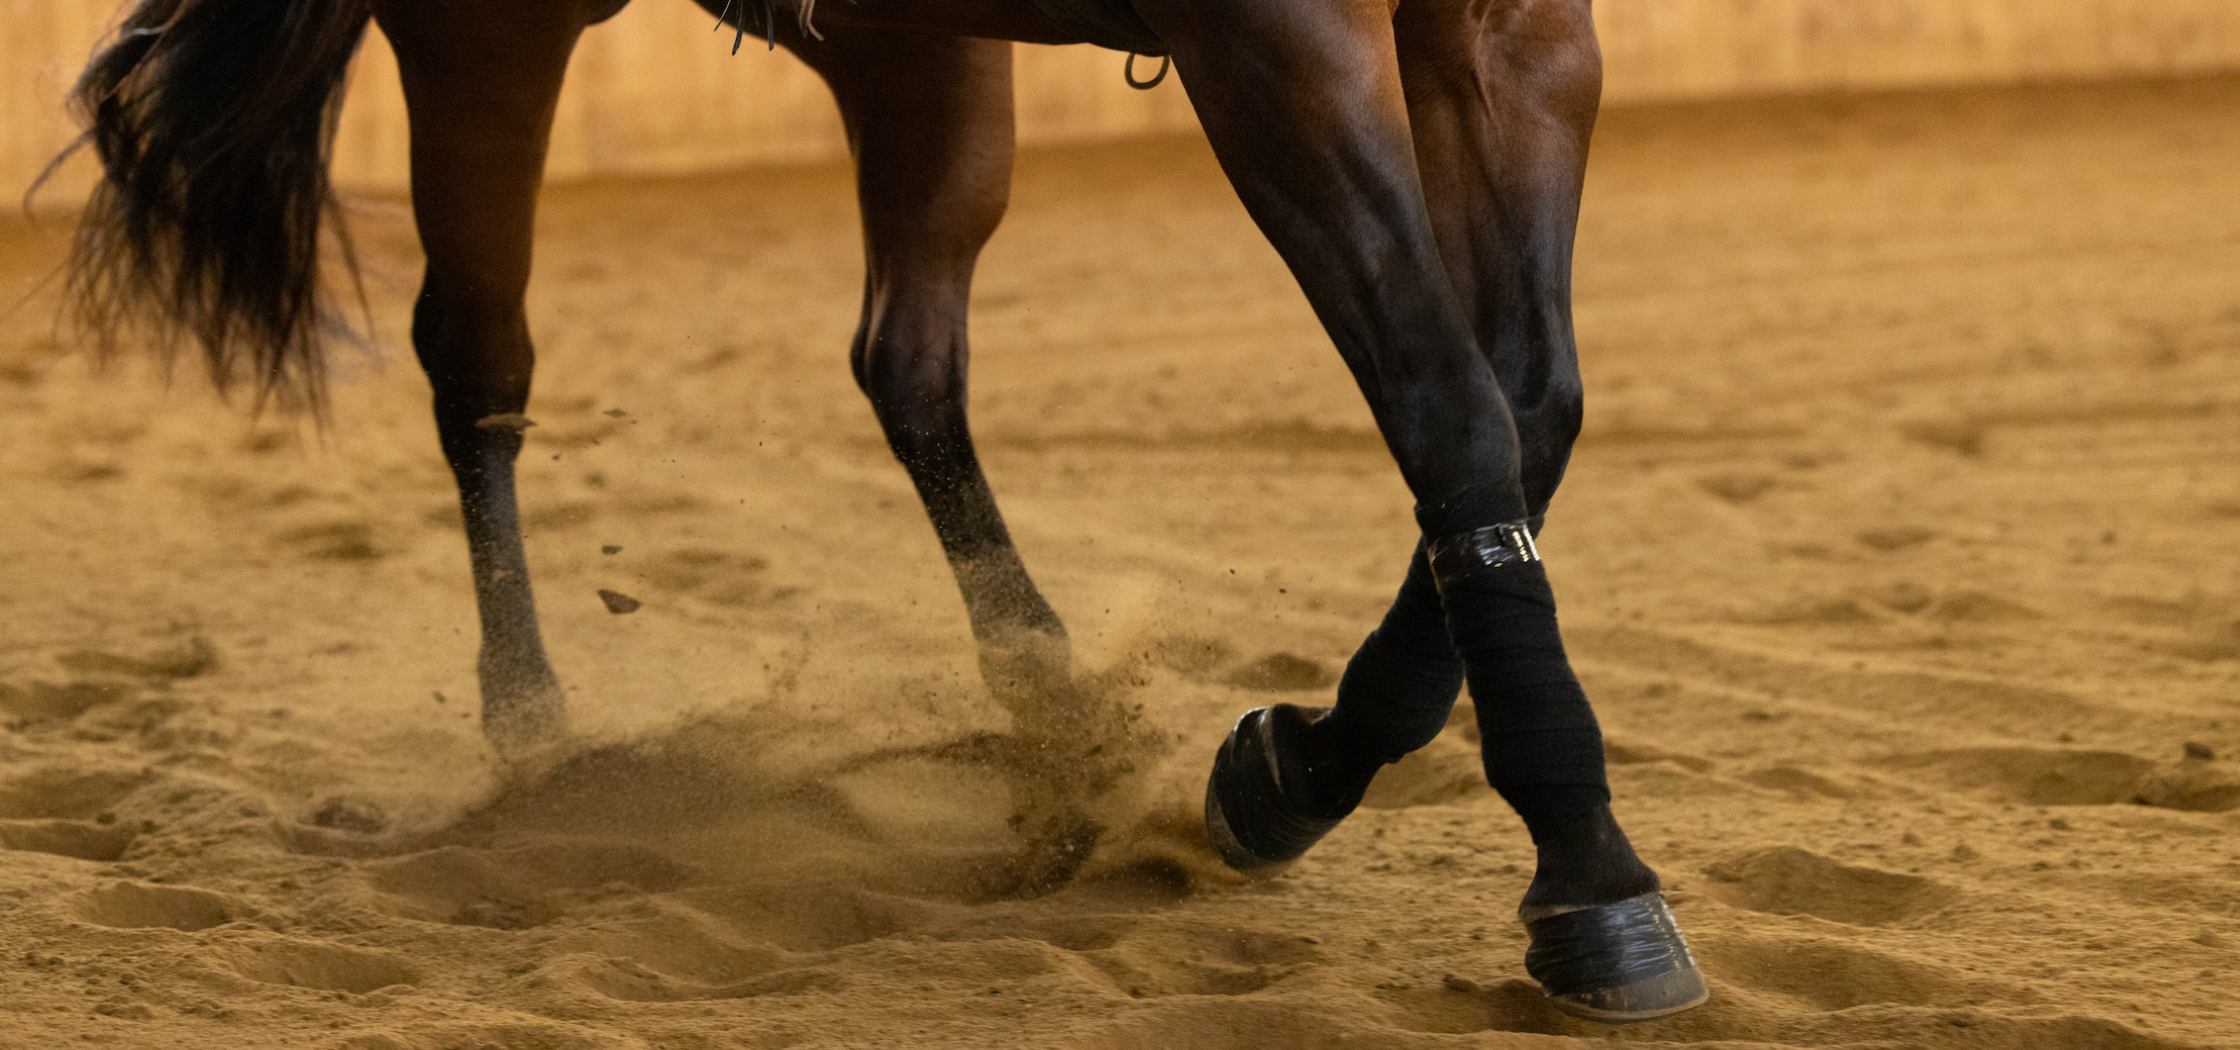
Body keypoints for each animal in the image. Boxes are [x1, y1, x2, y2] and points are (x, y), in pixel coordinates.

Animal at [58, 0, 1703, 1022]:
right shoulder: (1274, 46)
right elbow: (1449, 405)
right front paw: (1589, 878)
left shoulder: (1515, 31)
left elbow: (1528, 408)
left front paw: (1293, 764)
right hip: (490, 40)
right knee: (477, 368)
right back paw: (532, 725)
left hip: (915, 54)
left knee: (903, 359)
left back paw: (1047, 693)